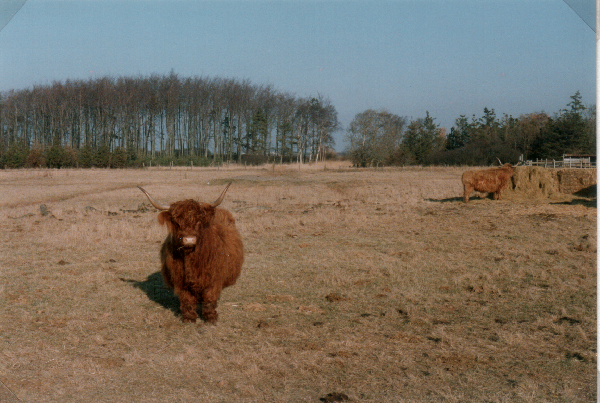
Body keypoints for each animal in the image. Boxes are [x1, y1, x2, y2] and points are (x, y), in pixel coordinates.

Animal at [138, 184, 244, 326]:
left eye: (199, 220)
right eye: (176, 221)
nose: (189, 239)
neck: (191, 260)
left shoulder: (214, 279)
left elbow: (210, 298)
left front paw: (211, 318)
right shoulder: (180, 280)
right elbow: (186, 299)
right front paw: (189, 318)